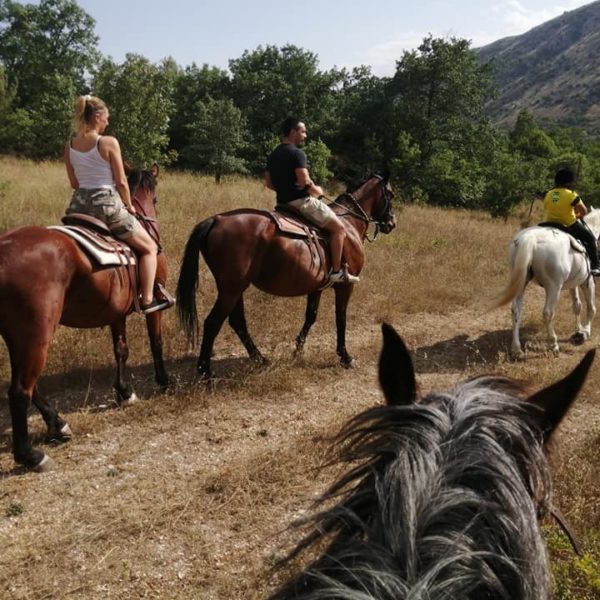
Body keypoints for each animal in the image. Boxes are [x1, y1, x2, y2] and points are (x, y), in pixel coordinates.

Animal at [0, 165, 169, 474]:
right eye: (156, 198)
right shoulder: (155, 306)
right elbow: (156, 342)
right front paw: (163, 380)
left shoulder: (116, 312)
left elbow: (121, 350)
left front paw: (125, 392)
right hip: (36, 333)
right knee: (19, 390)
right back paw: (31, 455)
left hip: (17, 335)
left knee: (28, 384)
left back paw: (57, 424)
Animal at [176, 173, 396, 378]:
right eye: (391, 195)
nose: (392, 223)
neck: (348, 223)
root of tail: (216, 219)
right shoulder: (345, 286)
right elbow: (340, 318)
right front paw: (345, 356)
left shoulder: (316, 287)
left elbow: (311, 316)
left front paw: (298, 350)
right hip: (231, 289)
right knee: (213, 322)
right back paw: (205, 372)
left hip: (234, 288)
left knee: (237, 322)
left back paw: (259, 358)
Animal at [492, 209, 600, 356]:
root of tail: (531, 238)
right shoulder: (587, 281)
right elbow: (591, 308)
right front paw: (585, 332)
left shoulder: (573, 284)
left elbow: (577, 305)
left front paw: (578, 330)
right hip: (554, 287)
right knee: (548, 313)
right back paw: (553, 344)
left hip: (521, 282)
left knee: (516, 311)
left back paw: (516, 349)